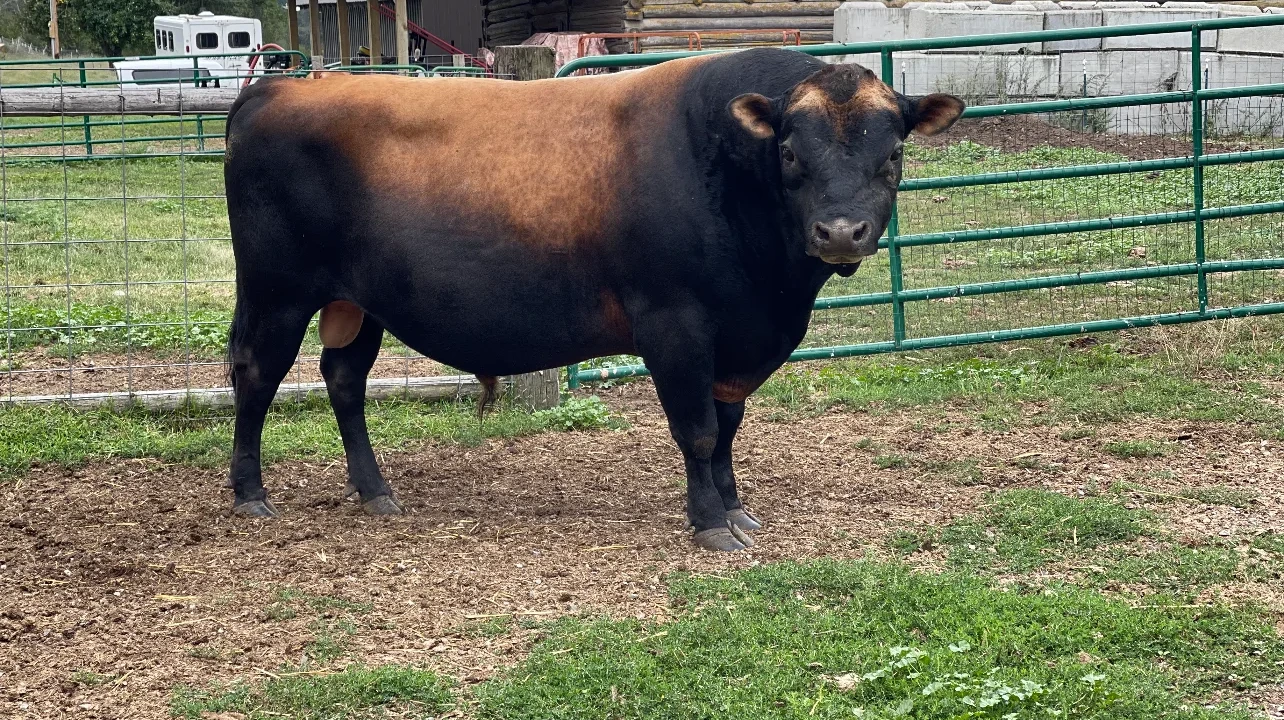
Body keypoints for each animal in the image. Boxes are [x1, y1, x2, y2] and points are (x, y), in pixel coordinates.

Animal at [223, 48, 964, 551]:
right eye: (788, 152)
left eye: (893, 153)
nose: (839, 231)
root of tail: (279, 89)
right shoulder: (674, 323)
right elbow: (696, 430)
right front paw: (710, 524)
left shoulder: (738, 337)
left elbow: (727, 428)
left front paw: (734, 507)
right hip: (277, 290)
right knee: (257, 375)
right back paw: (250, 493)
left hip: (358, 302)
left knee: (343, 379)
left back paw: (375, 490)